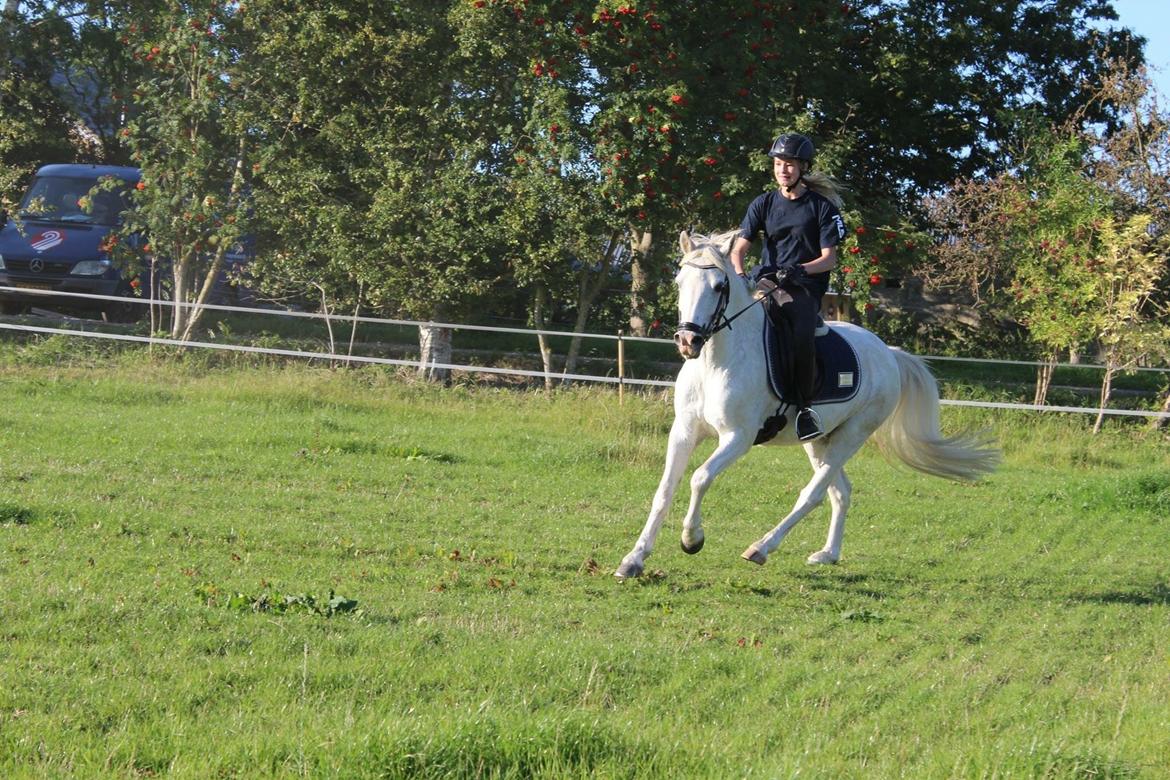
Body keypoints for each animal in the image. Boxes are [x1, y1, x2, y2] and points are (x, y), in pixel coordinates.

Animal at [614, 230, 999, 579]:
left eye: (720, 287)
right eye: (679, 281)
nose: (688, 340)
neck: (715, 363)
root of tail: (888, 354)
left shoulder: (737, 437)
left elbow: (700, 477)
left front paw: (692, 539)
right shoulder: (684, 431)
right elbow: (665, 490)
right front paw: (634, 559)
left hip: (852, 435)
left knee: (813, 494)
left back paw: (762, 547)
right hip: (819, 439)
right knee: (840, 492)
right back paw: (827, 554)